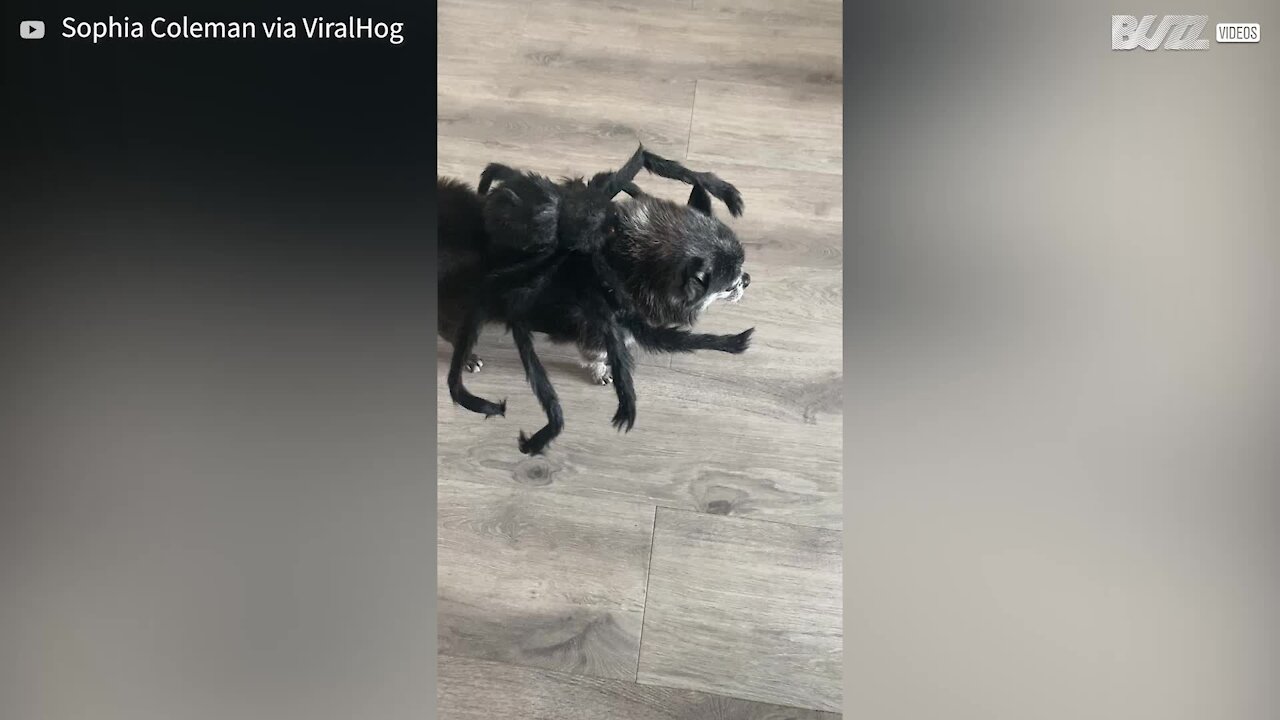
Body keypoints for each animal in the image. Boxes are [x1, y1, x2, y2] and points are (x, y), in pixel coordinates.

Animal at [440, 149, 752, 453]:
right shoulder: (604, 330)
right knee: (453, 333)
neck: (633, 257)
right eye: (729, 285)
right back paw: (470, 362)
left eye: (742, 269)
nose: (747, 280)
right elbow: (621, 348)